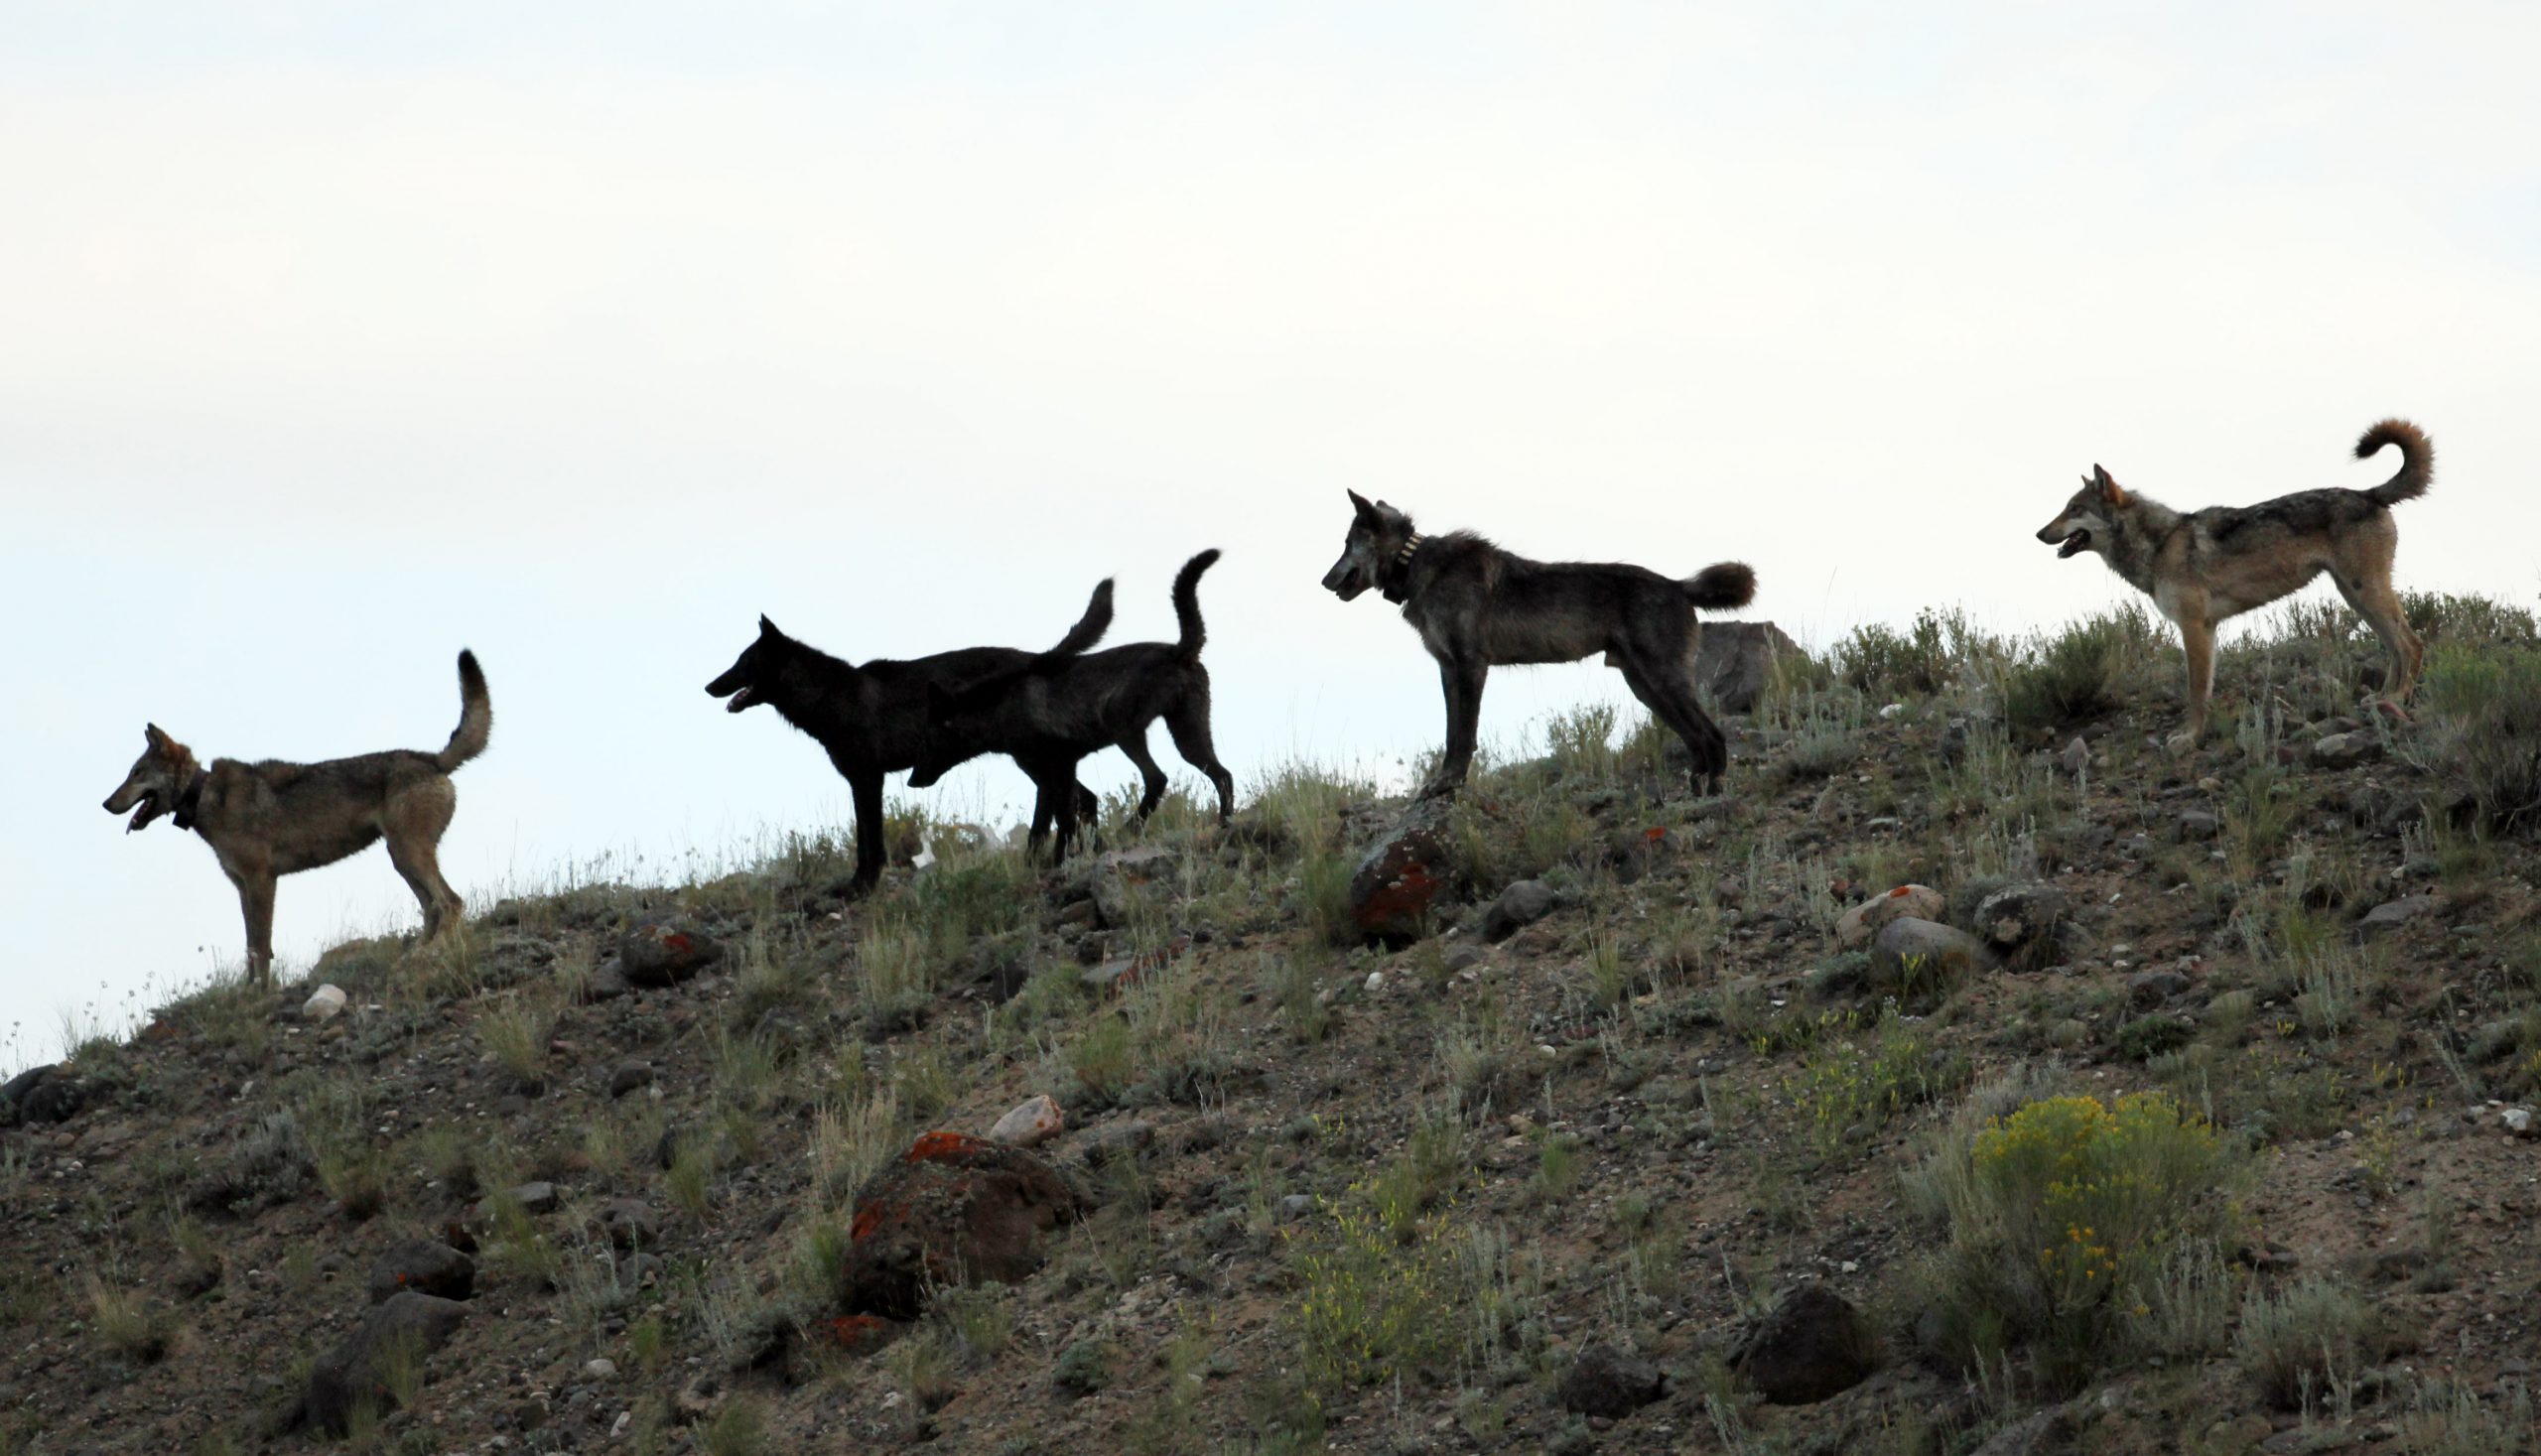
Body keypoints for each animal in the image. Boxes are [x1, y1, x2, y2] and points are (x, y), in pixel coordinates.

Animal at [102, 651, 492, 982]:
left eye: (136, 773)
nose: (105, 803)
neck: (205, 796)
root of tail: (432, 759)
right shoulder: (242, 886)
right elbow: (251, 948)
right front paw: (249, 992)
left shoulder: (262, 881)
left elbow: (261, 948)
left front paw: (261, 994)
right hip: (400, 858)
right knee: (432, 908)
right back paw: (413, 956)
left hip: (408, 854)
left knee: (451, 902)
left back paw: (431, 953)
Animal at [705, 583, 1114, 892]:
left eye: (742, 661)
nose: (708, 686)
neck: (830, 698)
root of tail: (1036, 657)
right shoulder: (862, 780)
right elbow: (866, 838)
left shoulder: (867, 779)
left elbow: (870, 841)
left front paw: (862, 886)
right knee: (1082, 799)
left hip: (1029, 758)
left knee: (1069, 799)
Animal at [908, 549, 1237, 859]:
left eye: (925, 742)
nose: (911, 781)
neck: (1002, 709)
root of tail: (1177, 651)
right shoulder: (1048, 776)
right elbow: (1042, 828)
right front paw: (1039, 863)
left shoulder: (1060, 767)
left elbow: (1062, 821)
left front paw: (1058, 860)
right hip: (1188, 737)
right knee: (1223, 775)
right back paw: (1224, 824)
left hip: (1125, 731)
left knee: (1158, 778)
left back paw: (1130, 829)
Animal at [1320, 492, 1756, 797]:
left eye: (1345, 544)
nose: (1324, 581)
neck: (1415, 565)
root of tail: (1678, 586)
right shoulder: (1448, 670)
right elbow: (1450, 733)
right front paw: (1444, 780)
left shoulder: (1470, 666)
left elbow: (1463, 735)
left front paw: (1451, 782)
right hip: (1645, 688)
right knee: (1695, 740)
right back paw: (1695, 791)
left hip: (1663, 682)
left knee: (1713, 736)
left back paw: (1713, 793)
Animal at [2035, 419, 2431, 747]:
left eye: (2074, 509)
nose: (2039, 533)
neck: (2161, 545)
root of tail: (2368, 493)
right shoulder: (2207, 629)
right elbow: (2205, 691)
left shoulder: (2194, 626)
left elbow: (2196, 692)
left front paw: (2189, 737)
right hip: (2355, 597)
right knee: (2395, 646)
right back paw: (2384, 697)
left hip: (2366, 592)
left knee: (2412, 643)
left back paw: (2398, 697)